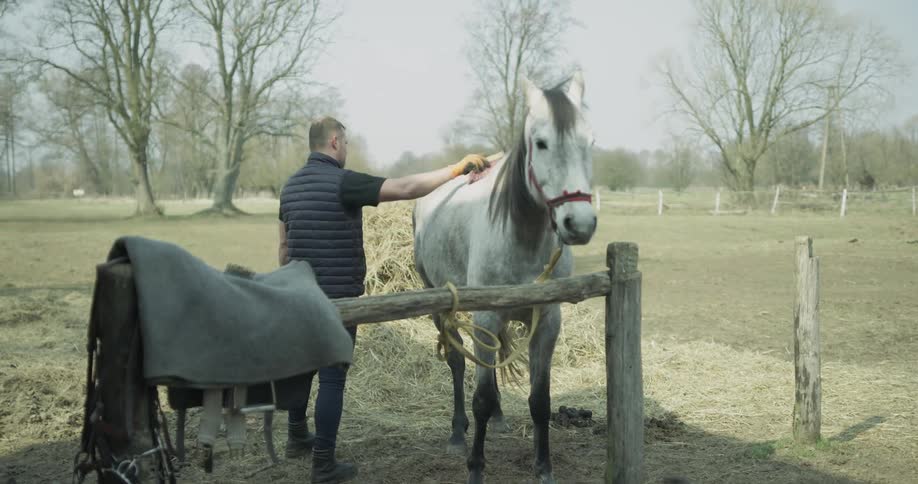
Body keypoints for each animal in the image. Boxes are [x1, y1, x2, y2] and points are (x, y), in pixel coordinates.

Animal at [412, 70, 596, 484]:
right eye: (541, 143)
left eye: (590, 141)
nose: (578, 224)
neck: (520, 236)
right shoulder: (483, 316)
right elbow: (479, 398)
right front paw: (476, 468)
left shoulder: (547, 321)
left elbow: (540, 400)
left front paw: (543, 469)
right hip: (440, 307)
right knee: (458, 363)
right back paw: (457, 434)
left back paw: (498, 419)